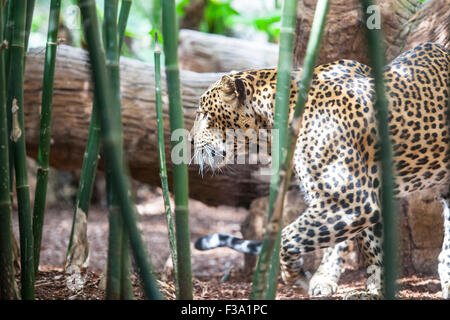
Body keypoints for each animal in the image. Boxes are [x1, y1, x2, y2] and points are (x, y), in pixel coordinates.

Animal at [190, 41, 450, 298]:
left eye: (204, 114)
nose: (190, 140)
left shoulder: (352, 201)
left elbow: (288, 237)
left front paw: (296, 279)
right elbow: (372, 247)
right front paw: (374, 291)